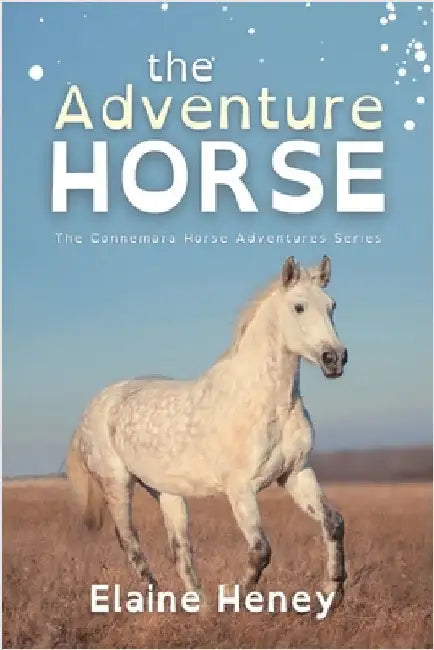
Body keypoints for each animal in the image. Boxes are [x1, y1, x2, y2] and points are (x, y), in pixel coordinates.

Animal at [66, 255, 348, 608]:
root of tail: (95, 406)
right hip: (116, 484)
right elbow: (260, 550)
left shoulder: (296, 473)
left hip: (166, 491)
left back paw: (198, 606)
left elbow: (333, 523)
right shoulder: (240, 489)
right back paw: (157, 599)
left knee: (180, 548)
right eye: (298, 307)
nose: (335, 358)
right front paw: (231, 598)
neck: (267, 402)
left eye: (332, 305)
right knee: (129, 541)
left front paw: (332, 592)